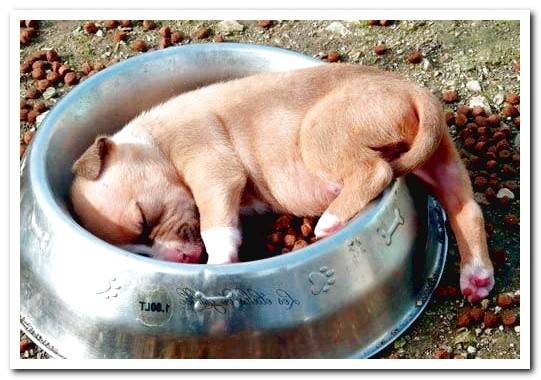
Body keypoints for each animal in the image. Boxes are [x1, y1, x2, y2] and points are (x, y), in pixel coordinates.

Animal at [70, 63, 494, 302]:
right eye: (138, 251)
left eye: (143, 220)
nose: (185, 262)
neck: (154, 143)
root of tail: (414, 90)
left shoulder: (213, 170)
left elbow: (215, 226)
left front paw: (219, 264)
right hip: (440, 164)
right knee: (466, 209)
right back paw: (476, 276)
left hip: (319, 133)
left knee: (375, 171)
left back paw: (331, 221)